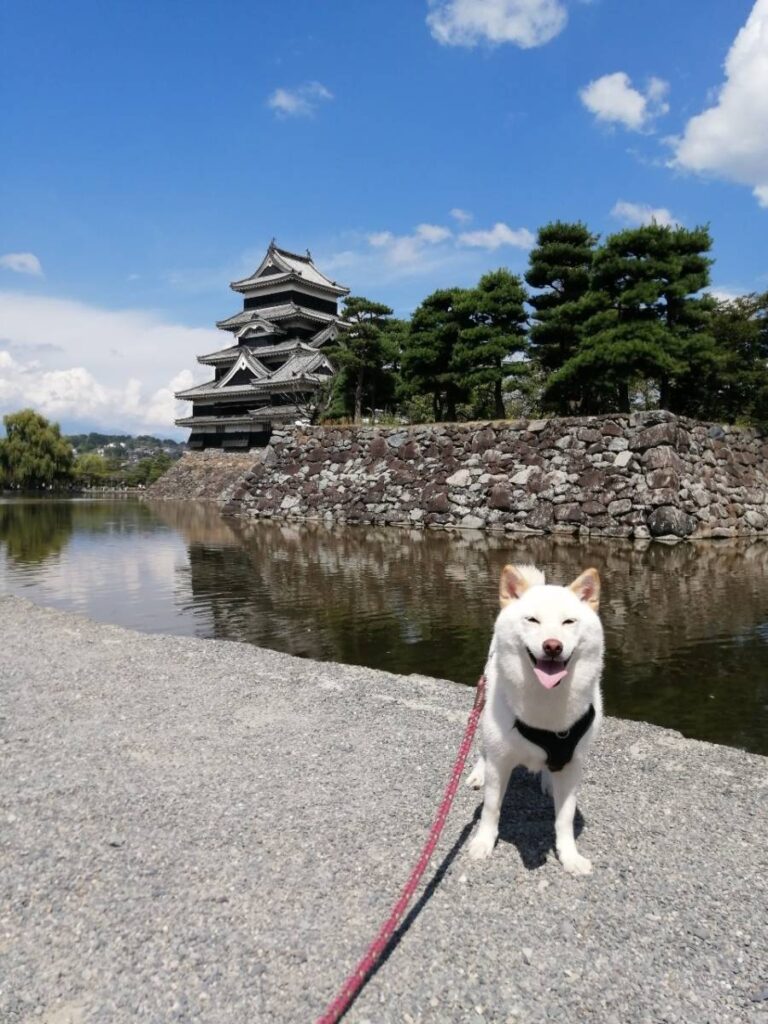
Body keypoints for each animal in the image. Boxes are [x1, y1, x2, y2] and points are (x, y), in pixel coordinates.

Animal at [466, 565, 606, 876]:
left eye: (568, 621)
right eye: (532, 620)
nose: (553, 646)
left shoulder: (572, 764)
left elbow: (565, 818)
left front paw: (569, 856)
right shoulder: (500, 761)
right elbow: (491, 808)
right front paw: (483, 842)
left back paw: (547, 780)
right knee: (481, 749)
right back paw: (478, 772)